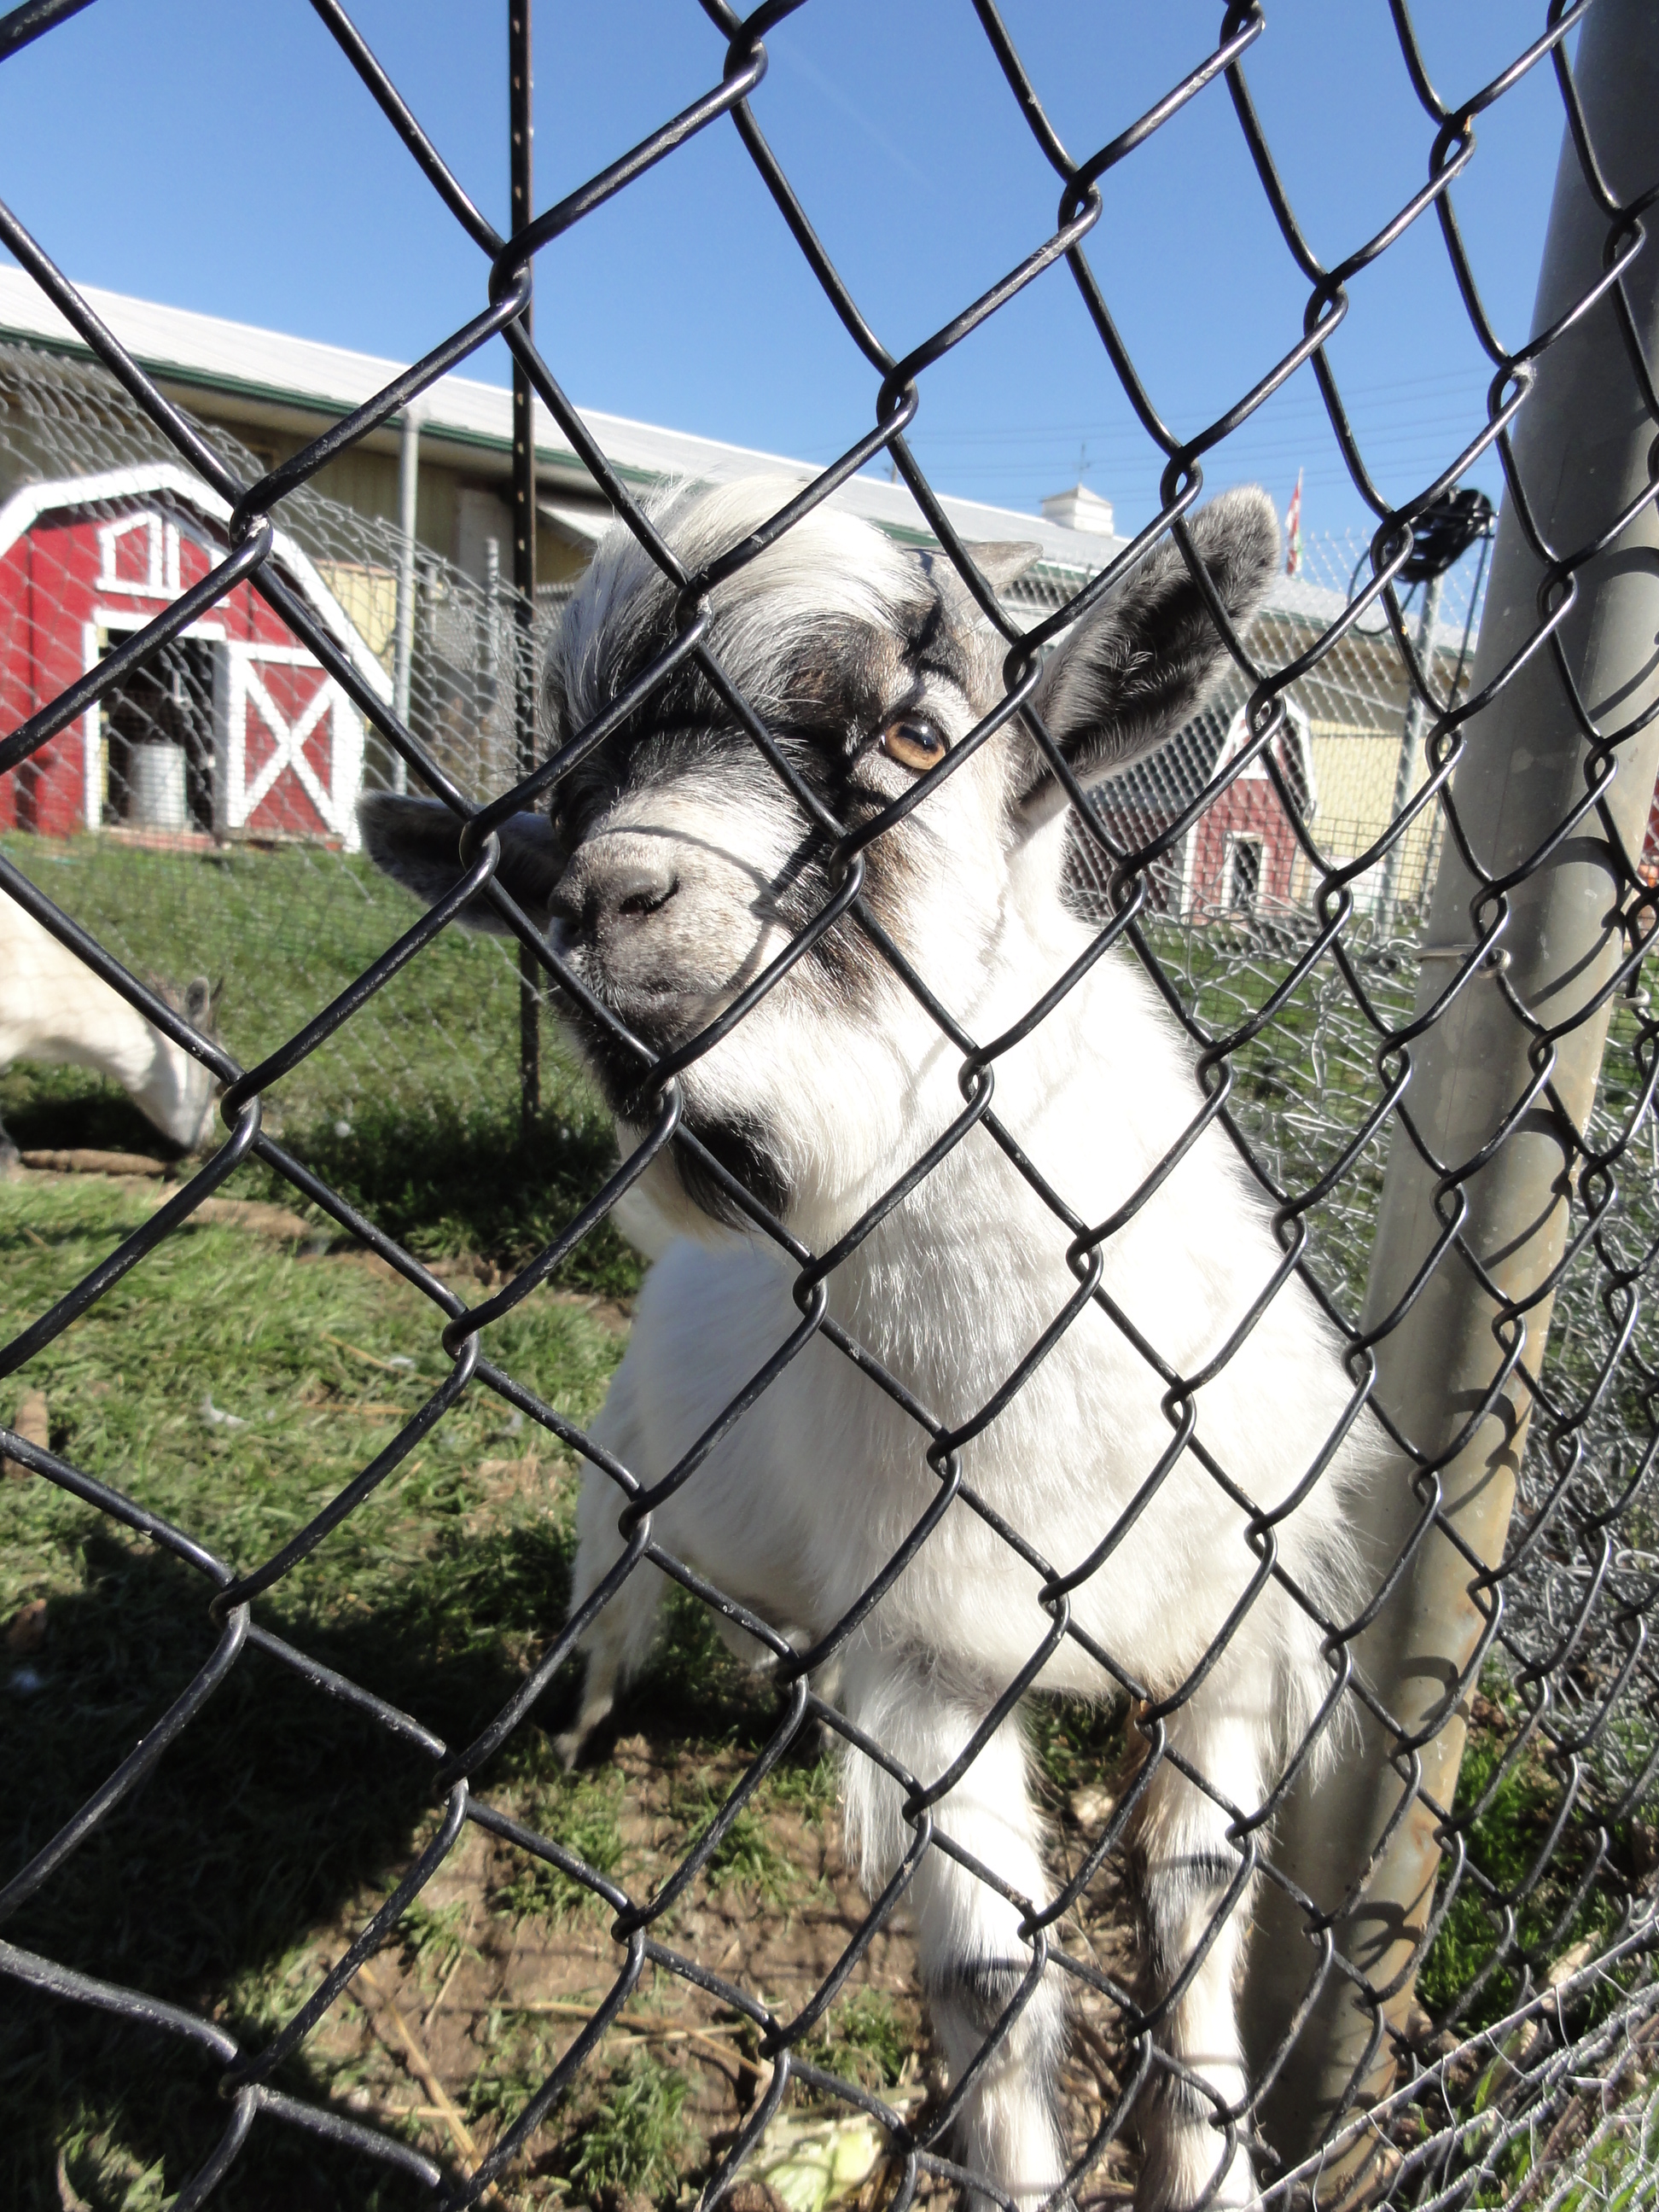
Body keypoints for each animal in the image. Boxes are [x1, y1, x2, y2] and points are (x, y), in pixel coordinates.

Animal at [361, 478, 1371, 2211]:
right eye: (572, 800)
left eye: (913, 733)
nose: (599, 909)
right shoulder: (931, 1660)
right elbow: (993, 1982)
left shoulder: (1233, 1627)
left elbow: (1193, 1912)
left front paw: (1215, 2168)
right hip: (626, 1484)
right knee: (611, 1607)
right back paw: (590, 1721)